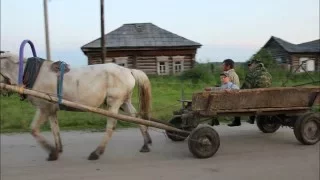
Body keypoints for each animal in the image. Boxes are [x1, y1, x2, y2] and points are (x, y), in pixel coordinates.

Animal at [0, 51, 152, 161]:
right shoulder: (51, 110)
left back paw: (96, 152)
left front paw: (52, 152)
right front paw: (58, 149)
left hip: (114, 102)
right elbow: (55, 129)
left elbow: (34, 130)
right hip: (125, 102)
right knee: (137, 117)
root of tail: (128, 71)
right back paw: (145, 143)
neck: (31, 73)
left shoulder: (44, 107)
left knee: (111, 126)